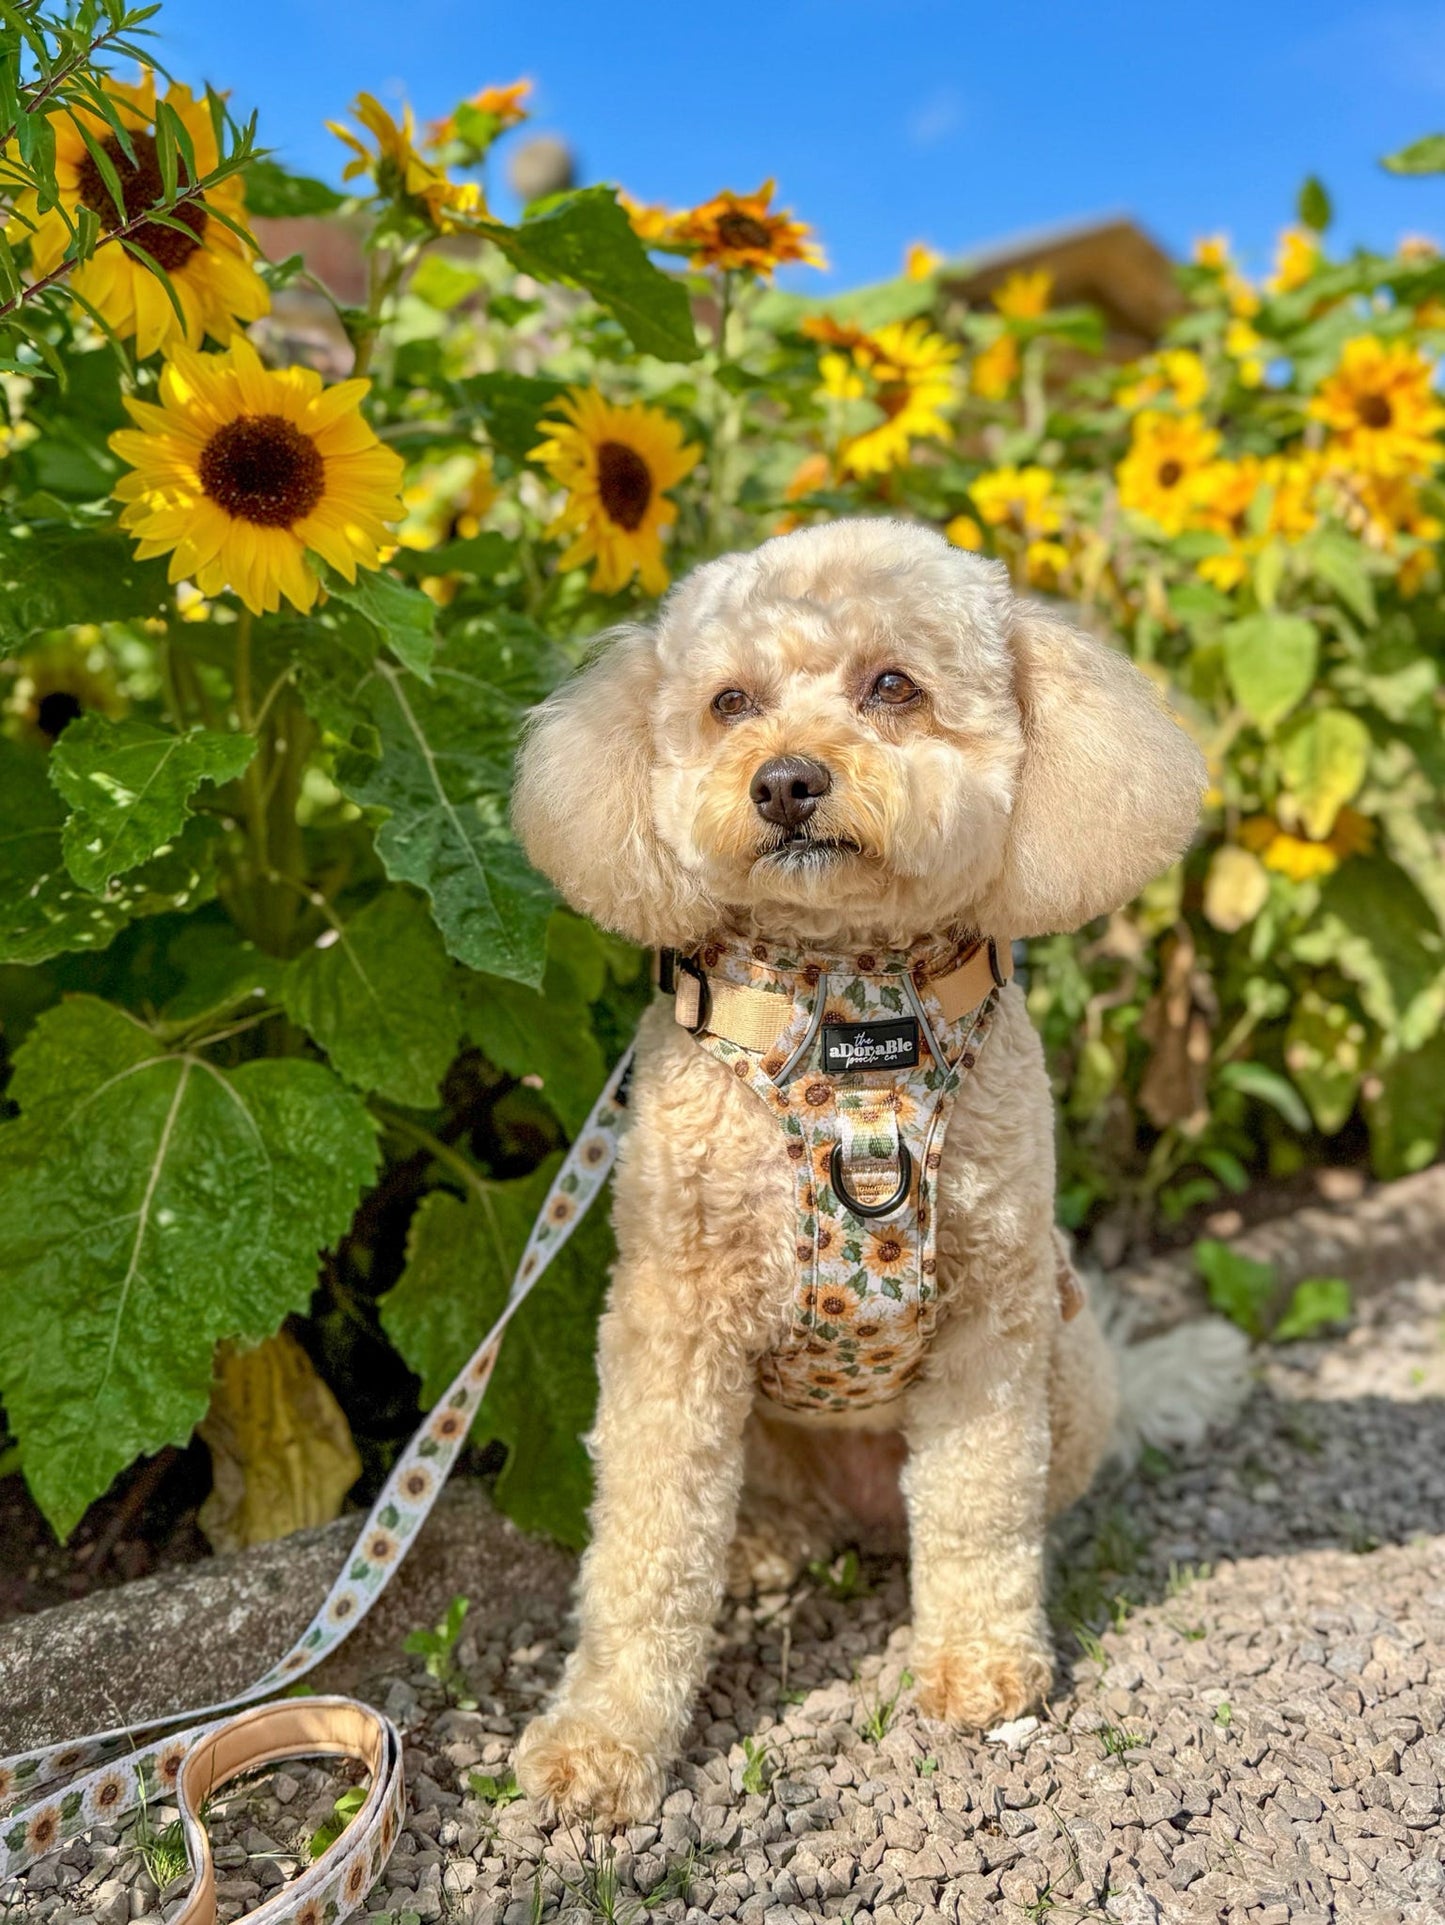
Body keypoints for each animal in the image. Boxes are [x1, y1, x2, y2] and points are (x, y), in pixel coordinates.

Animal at [509, 517, 1245, 1824]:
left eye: (892, 685)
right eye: (728, 701)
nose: (783, 780)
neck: (850, 1010)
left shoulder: (989, 1314)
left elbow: (976, 1508)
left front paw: (980, 1666)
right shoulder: (670, 1328)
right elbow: (642, 1555)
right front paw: (600, 1741)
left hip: (1067, 1365)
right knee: (745, 1512)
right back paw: (757, 1544)